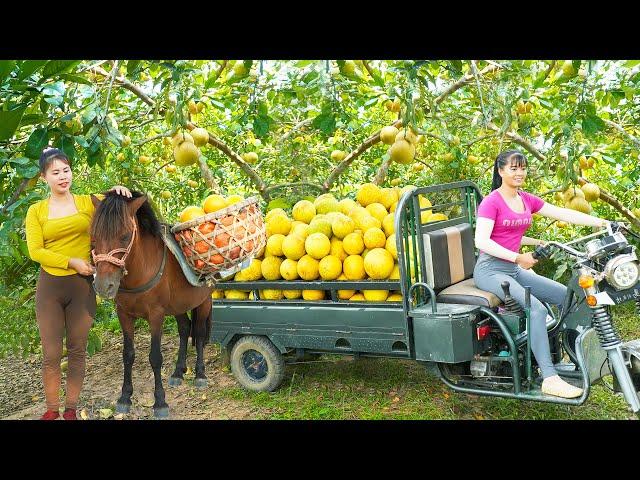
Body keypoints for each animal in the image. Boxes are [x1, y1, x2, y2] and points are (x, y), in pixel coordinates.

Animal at [91, 191, 214, 416]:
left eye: (125, 236)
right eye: (93, 236)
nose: (103, 286)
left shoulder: (156, 316)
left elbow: (155, 357)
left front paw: (160, 402)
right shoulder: (124, 315)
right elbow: (128, 355)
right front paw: (125, 397)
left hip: (204, 302)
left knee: (200, 333)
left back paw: (200, 374)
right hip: (179, 305)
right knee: (185, 329)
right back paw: (178, 371)